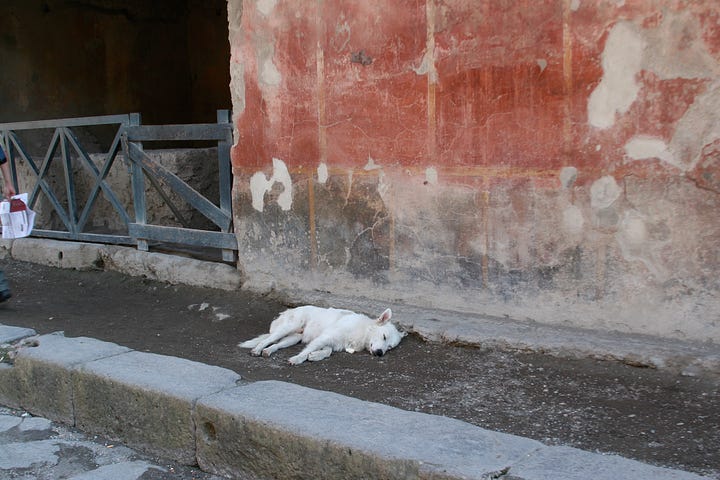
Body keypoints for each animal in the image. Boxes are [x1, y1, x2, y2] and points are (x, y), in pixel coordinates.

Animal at [240, 306, 404, 366]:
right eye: (384, 336)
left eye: (389, 347)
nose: (380, 353)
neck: (362, 331)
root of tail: (287, 311)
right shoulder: (325, 337)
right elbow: (306, 351)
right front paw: (298, 359)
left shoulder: (331, 342)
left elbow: (327, 351)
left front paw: (315, 356)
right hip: (287, 328)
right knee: (268, 339)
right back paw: (257, 349)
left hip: (293, 338)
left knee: (276, 344)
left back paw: (268, 351)